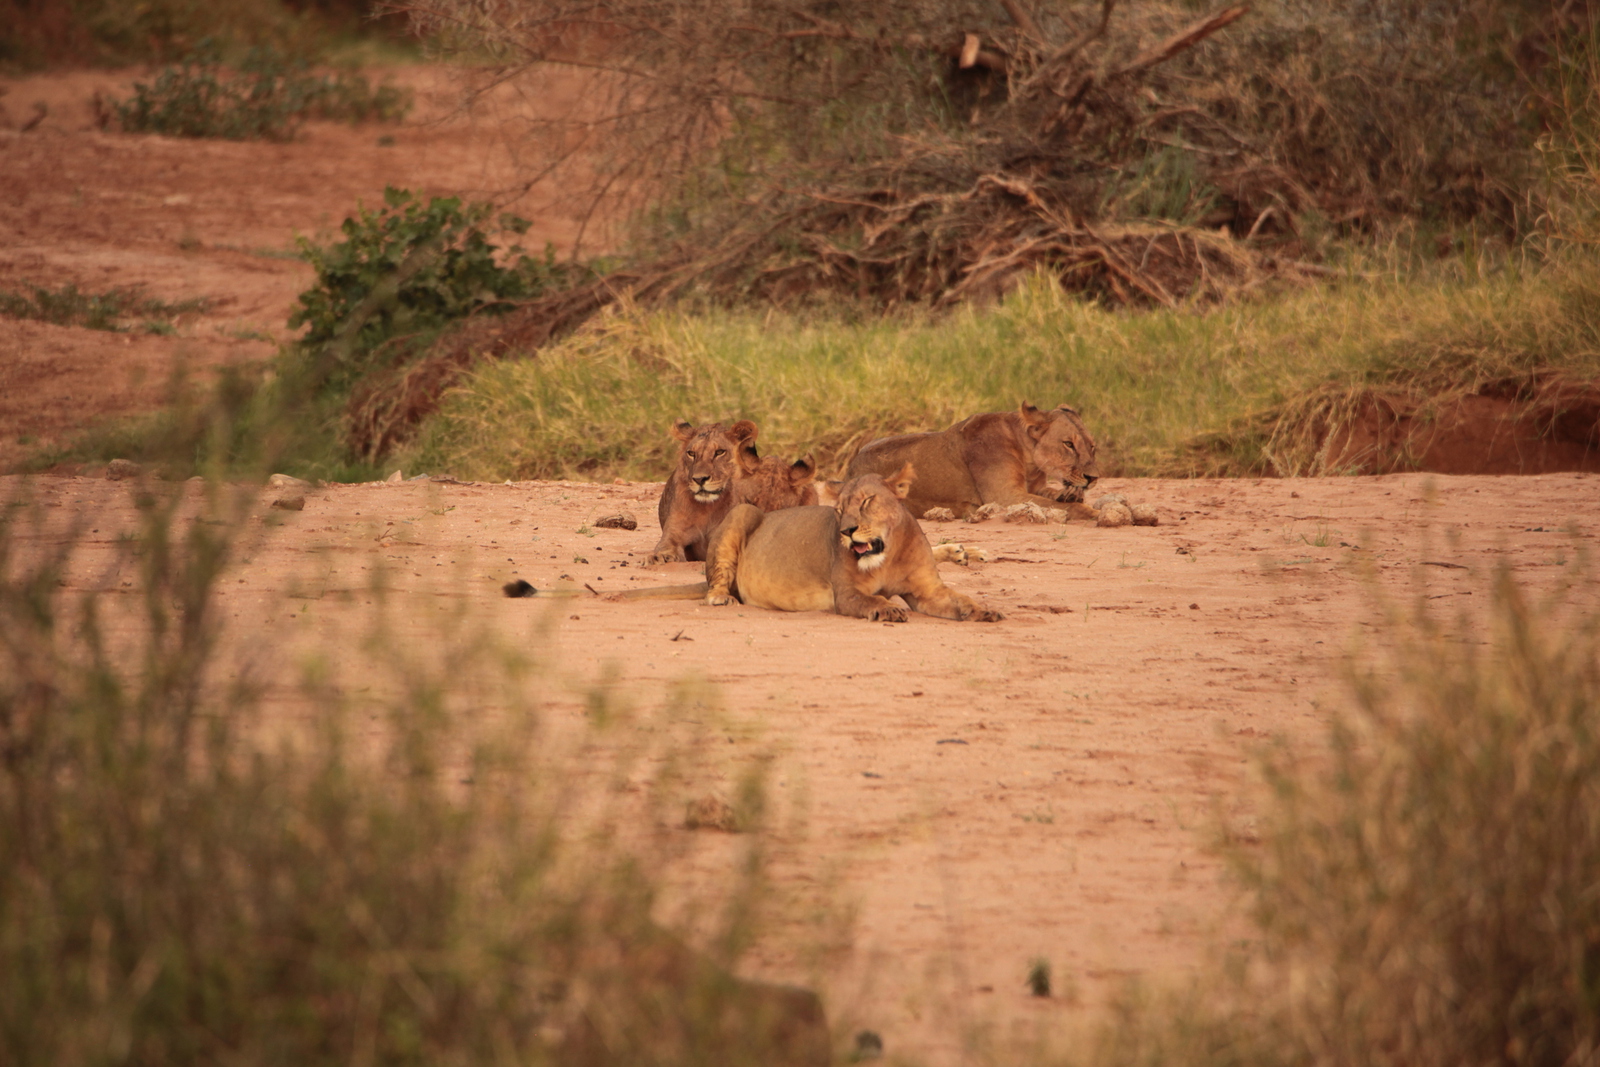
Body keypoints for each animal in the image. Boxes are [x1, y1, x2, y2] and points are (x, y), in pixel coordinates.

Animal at [700, 460, 998, 627]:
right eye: (839, 510)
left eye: (866, 501)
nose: (847, 531)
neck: (889, 555)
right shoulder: (846, 593)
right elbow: (871, 599)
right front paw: (888, 609)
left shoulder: (928, 592)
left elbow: (960, 600)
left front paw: (984, 611)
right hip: (742, 512)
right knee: (716, 580)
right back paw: (721, 597)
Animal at [851, 403, 1100, 518]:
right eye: (1068, 444)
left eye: (1092, 446)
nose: (1094, 478)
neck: (1030, 459)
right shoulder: (1005, 496)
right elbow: (1065, 507)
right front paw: (1092, 512)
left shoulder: (1033, 488)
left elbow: (1053, 496)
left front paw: (1068, 495)